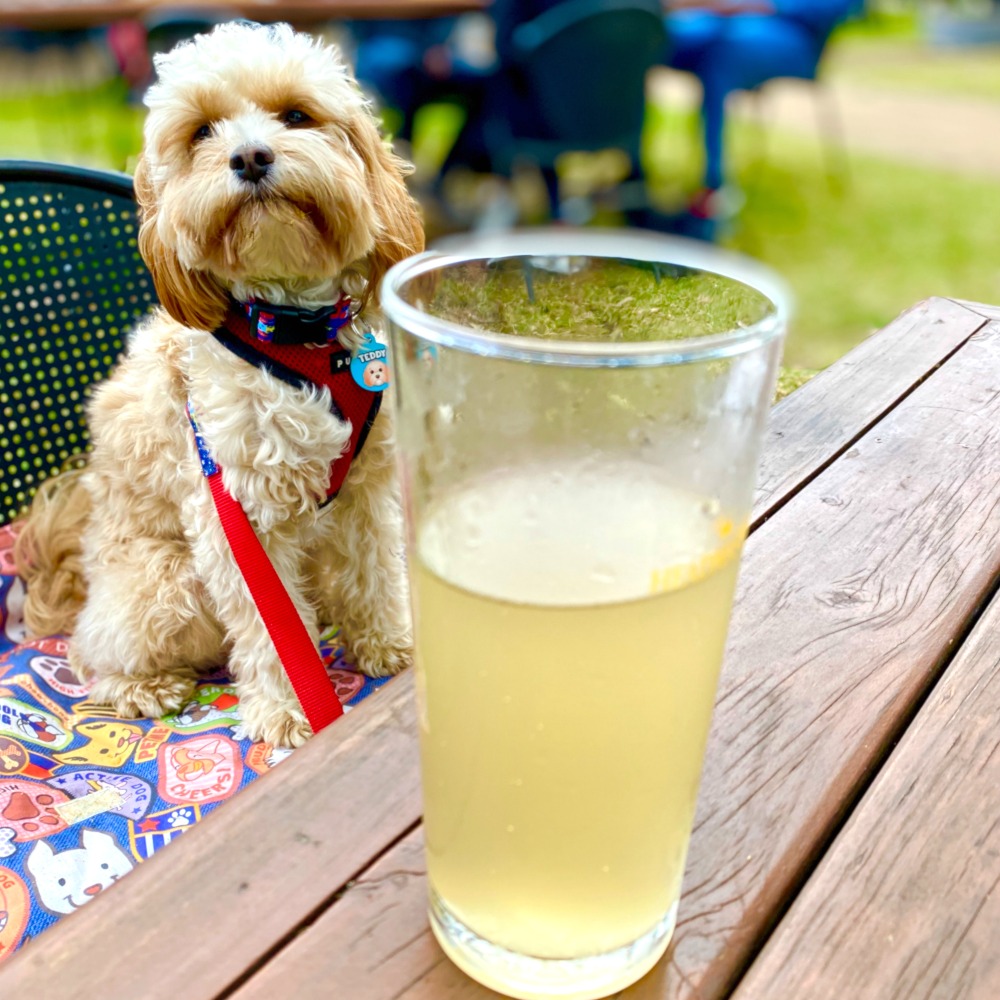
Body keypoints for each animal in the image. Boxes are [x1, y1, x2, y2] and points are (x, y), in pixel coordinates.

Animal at [16, 23, 422, 748]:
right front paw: (289, 710)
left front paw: (390, 644)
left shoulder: (365, 491)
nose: (251, 156)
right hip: (162, 584)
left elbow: (375, 570)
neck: (297, 333)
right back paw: (145, 686)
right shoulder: (235, 513)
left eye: (296, 115)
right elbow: (270, 625)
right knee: (93, 654)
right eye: (201, 131)